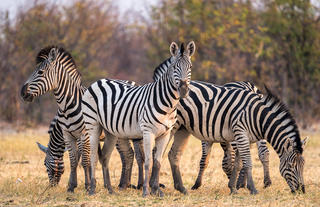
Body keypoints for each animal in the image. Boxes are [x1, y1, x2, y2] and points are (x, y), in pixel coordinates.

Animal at [20, 46, 90, 192]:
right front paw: (71, 186)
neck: (67, 106)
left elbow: (85, 160)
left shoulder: (84, 134)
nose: (22, 93)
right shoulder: (68, 134)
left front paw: (88, 186)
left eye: (40, 72)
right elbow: (74, 160)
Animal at [80, 40, 195, 197]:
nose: (183, 90)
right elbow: (148, 162)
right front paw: (146, 191)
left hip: (110, 132)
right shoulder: (148, 132)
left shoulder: (165, 134)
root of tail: (99, 81)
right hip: (93, 125)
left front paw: (157, 190)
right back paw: (92, 189)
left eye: (190, 67)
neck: (168, 104)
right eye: (174, 67)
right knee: (93, 156)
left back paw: (110, 190)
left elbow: (157, 162)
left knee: (104, 157)